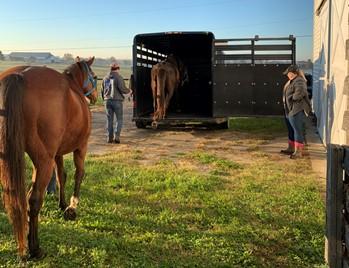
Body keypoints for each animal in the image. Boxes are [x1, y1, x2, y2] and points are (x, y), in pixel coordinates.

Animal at [0, 56, 98, 260]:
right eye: (94, 76)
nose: (94, 96)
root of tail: (19, 76)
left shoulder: (57, 153)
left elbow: (61, 176)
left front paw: (62, 204)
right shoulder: (81, 147)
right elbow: (78, 174)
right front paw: (72, 208)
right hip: (43, 161)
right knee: (33, 200)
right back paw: (34, 248)